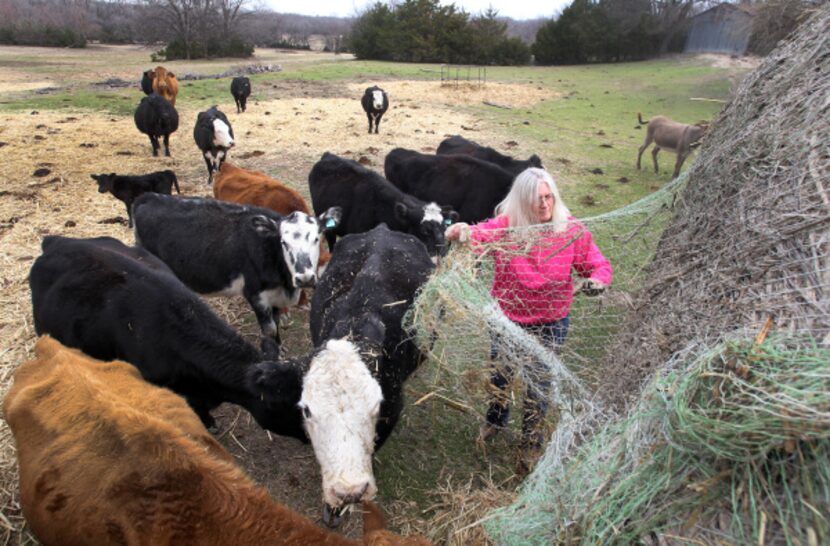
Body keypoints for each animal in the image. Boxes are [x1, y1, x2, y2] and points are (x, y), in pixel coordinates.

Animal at [132, 191, 340, 352]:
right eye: (283, 242)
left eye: (316, 239)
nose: (305, 278)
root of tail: (148, 197)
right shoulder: (255, 295)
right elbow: (270, 329)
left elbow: (276, 321)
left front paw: (280, 347)